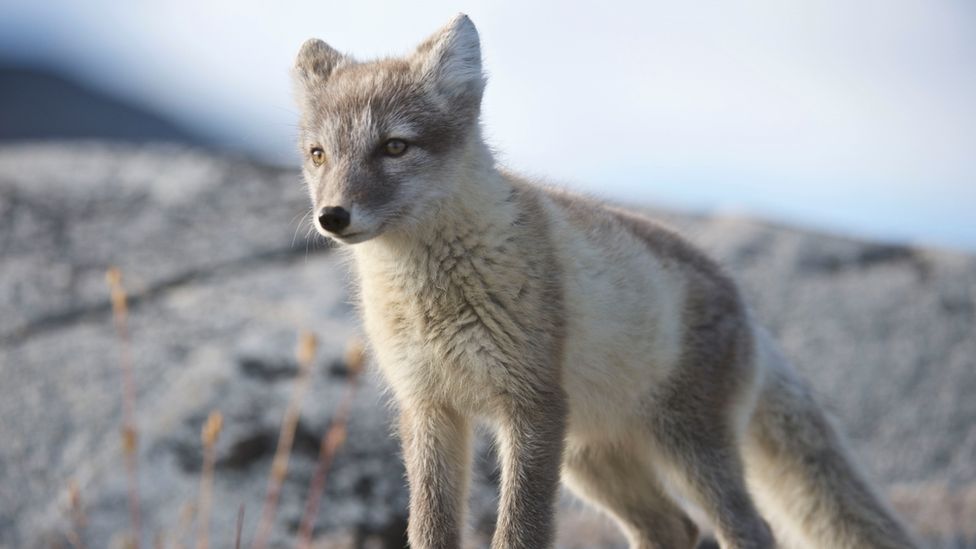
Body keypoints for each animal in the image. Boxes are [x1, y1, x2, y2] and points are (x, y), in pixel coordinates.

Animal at [290, 12, 916, 548]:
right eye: (319, 154)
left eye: (395, 146)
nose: (332, 217)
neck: (431, 294)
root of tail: (748, 309)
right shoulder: (430, 409)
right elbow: (429, 529)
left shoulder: (532, 407)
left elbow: (520, 532)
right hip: (590, 462)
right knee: (674, 529)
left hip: (688, 451)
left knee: (748, 530)